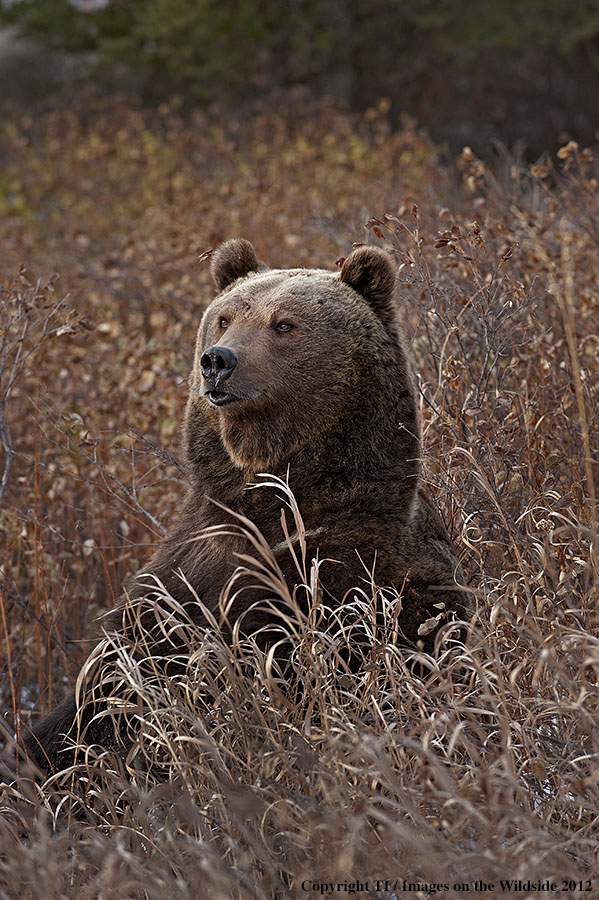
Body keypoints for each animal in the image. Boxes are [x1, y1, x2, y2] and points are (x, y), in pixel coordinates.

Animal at [23, 237, 466, 772]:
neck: (273, 499)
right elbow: (107, 696)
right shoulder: (181, 579)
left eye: (284, 324)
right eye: (225, 317)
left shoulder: (356, 583)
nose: (218, 360)